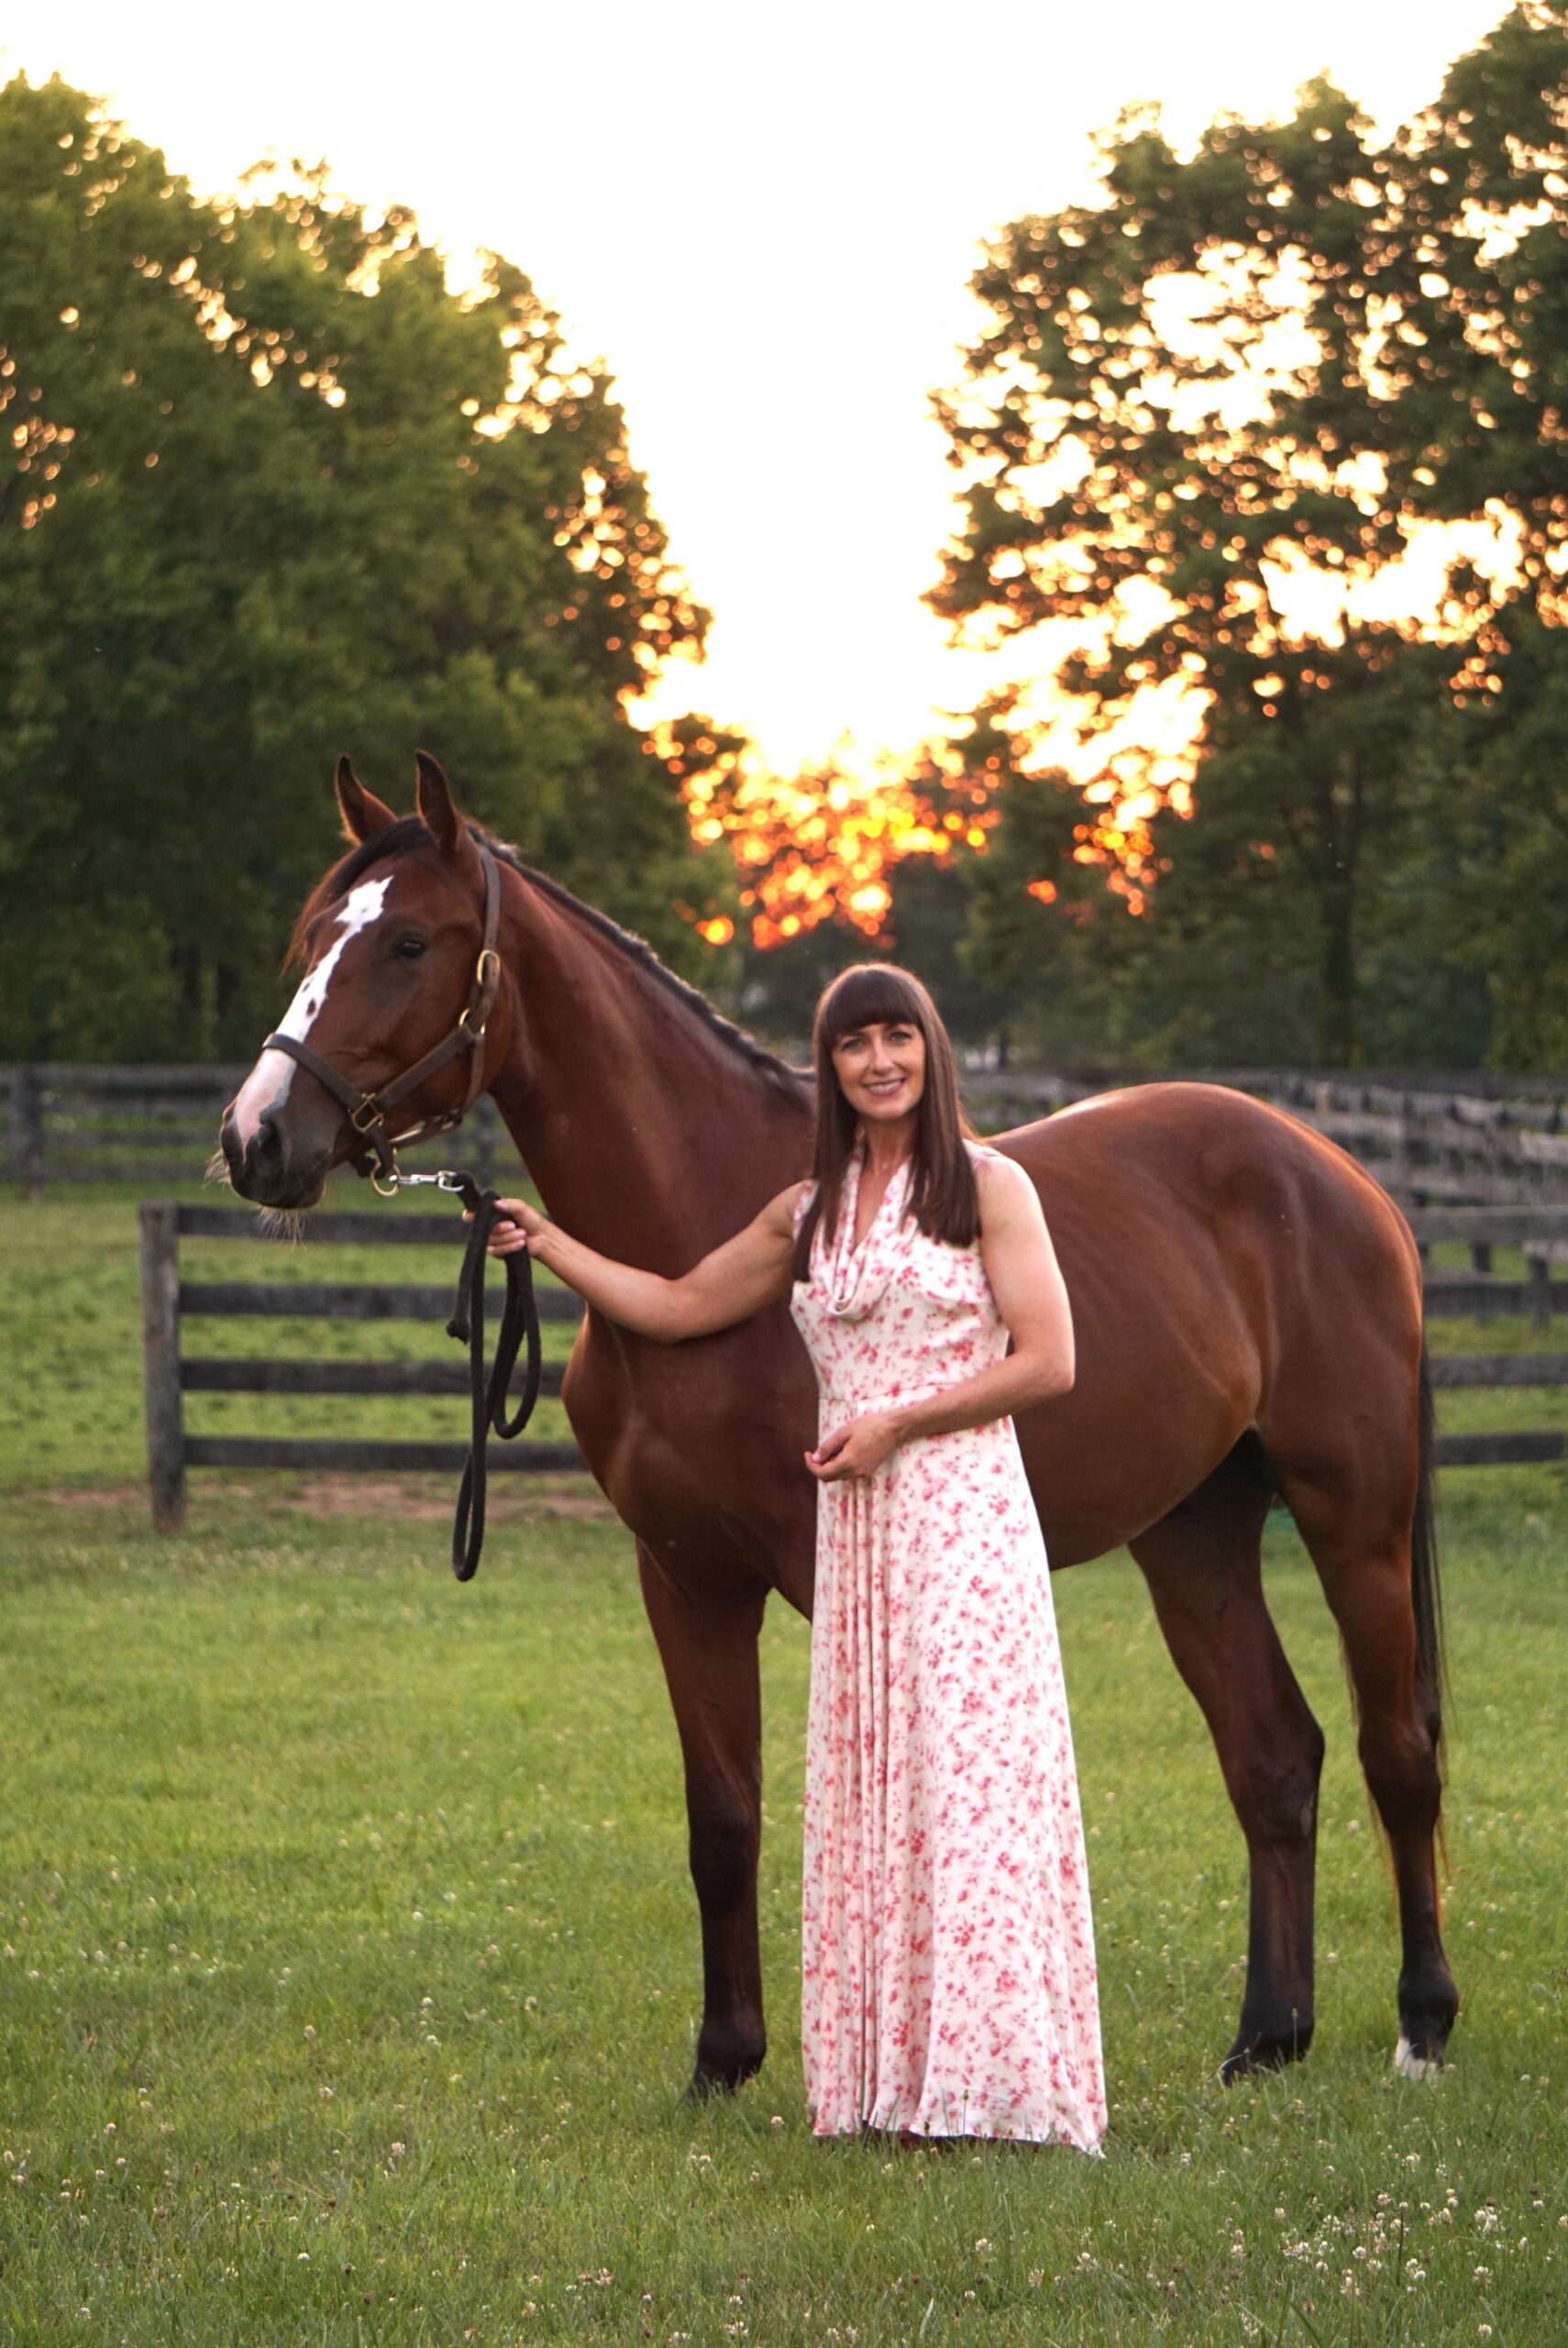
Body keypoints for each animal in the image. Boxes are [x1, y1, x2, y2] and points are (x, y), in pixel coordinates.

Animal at [220, 752, 1457, 2093]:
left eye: (406, 940)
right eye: (312, 938)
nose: (257, 1138)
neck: (696, 1230)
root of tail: (1338, 1174)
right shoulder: (685, 1577)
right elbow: (721, 1819)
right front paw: (724, 2059)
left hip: (1353, 1515)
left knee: (1397, 1757)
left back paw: (1421, 2026)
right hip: (1194, 1533)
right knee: (1274, 1759)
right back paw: (1267, 2038)